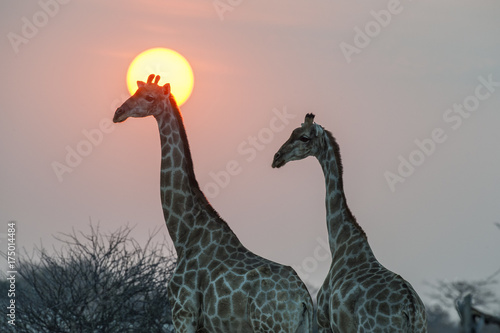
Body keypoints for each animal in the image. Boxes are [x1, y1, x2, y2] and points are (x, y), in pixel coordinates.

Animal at [113, 75, 312, 332]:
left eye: (149, 97)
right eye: (135, 91)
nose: (118, 112)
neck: (184, 234)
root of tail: (304, 298)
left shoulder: (183, 313)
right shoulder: (205, 325)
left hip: (270, 326)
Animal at [272, 113, 428, 330]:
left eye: (304, 137)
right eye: (291, 133)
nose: (277, 158)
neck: (339, 243)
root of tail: (410, 309)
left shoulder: (324, 322)